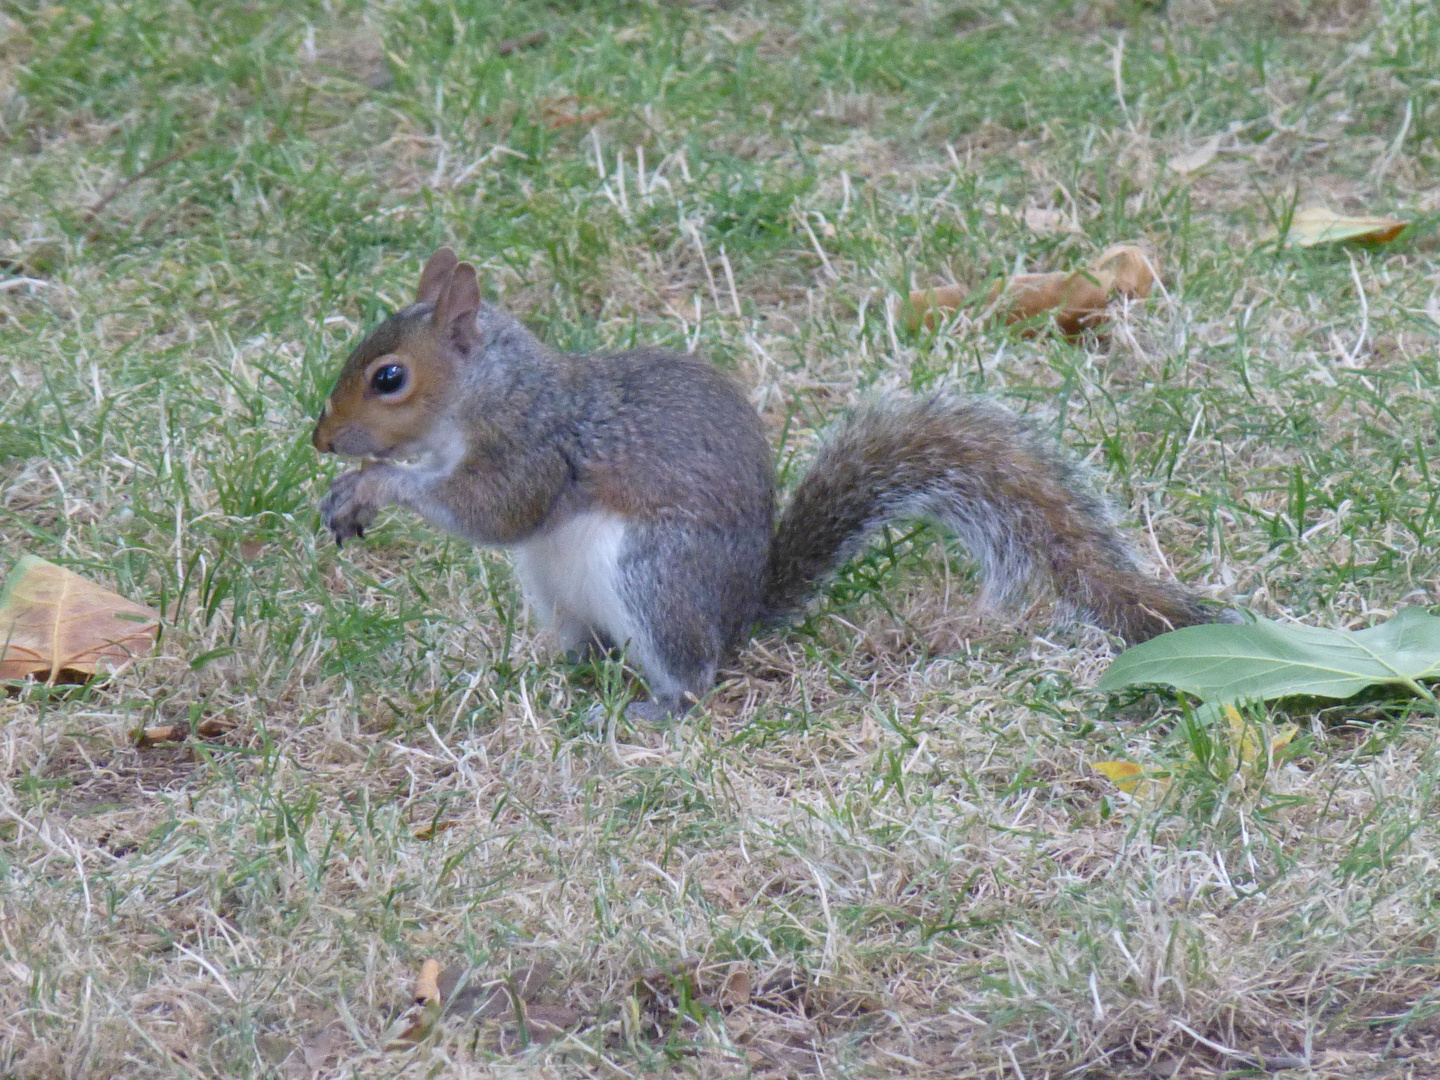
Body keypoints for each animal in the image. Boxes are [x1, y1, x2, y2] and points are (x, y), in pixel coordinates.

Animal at [315, 247, 1215, 720]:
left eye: (390, 378)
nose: (321, 439)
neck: (492, 393)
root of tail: (737, 616)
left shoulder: (537, 450)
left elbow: (492, 511)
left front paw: (375, 486)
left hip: (653, 574)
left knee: (692, 672)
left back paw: (653, 706)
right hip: (554, 590)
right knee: (590, 647)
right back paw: (552, 676)